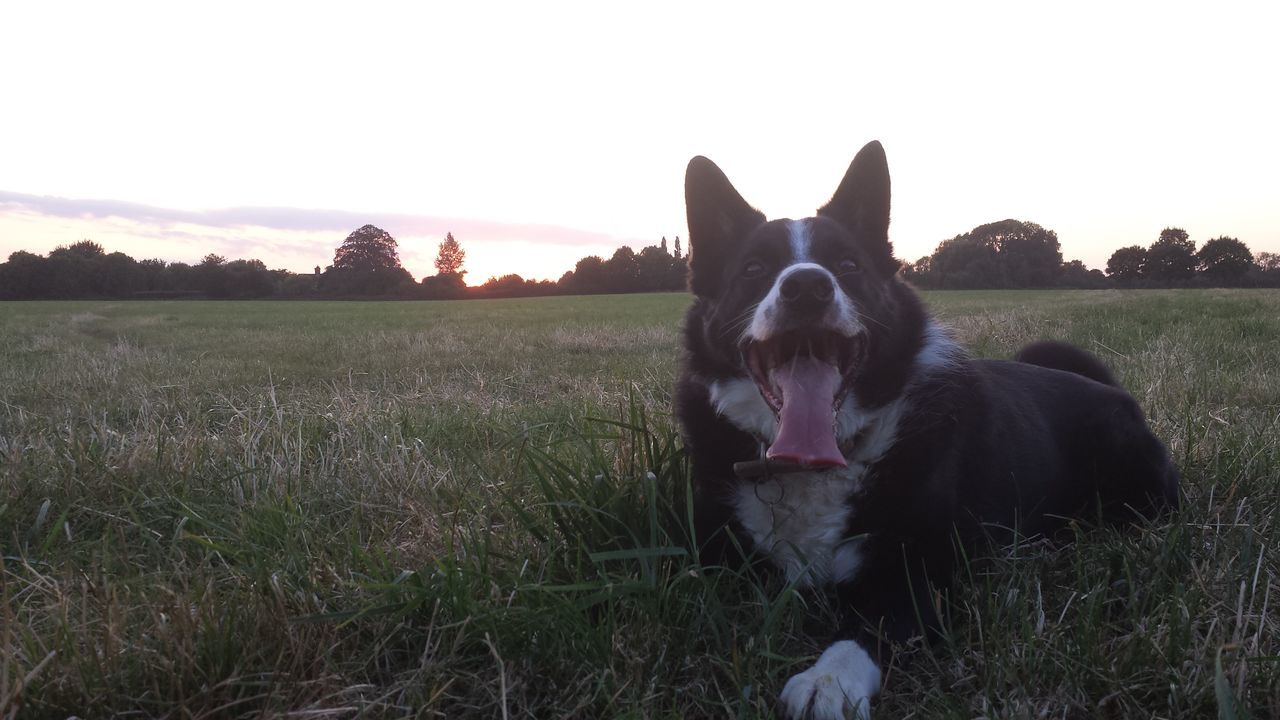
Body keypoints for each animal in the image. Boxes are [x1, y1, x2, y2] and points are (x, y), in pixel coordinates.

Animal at [675, 141, 1172, 717]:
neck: (817, 465)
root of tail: (1111, 390)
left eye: (848, 265)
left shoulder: (917, 573)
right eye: (754, 268)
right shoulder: (716, 560)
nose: (807, 286)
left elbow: (865, 631)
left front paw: (827, 681)